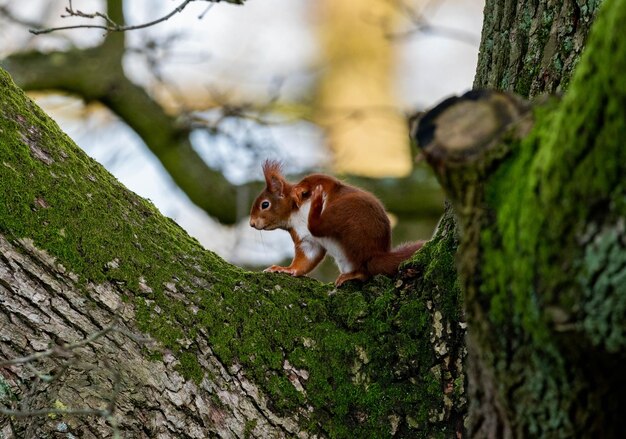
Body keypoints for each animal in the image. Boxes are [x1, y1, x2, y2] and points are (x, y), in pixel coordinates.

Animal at [246, 160, 422, 288]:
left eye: (265, 204)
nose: (252, 223)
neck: (296, 214)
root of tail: (376, 254)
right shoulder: (306, 239)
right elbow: (306, 259)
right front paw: (285, 269)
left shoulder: (323, 184)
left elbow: (319, 179)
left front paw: (299, 190)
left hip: (348, 220)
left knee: (364, 270)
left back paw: (317, 205)